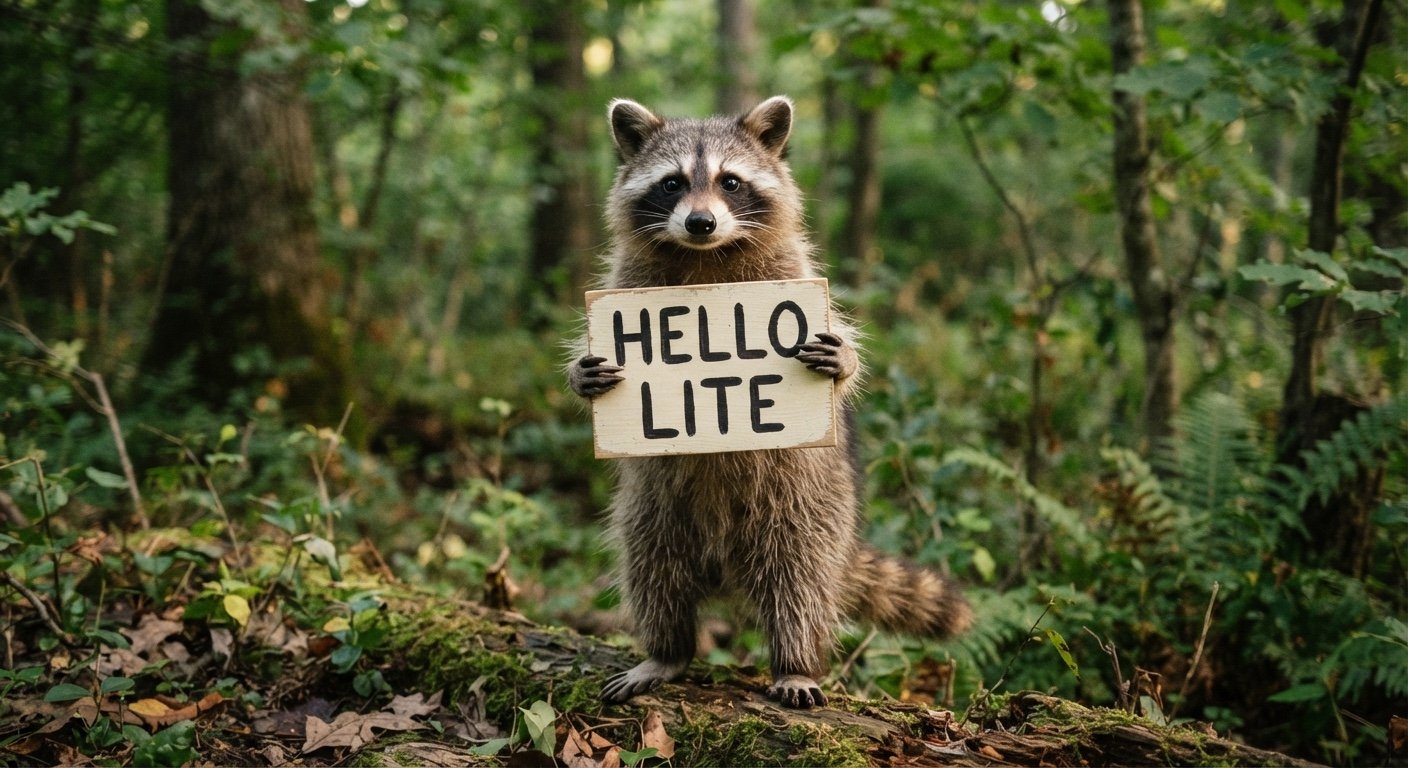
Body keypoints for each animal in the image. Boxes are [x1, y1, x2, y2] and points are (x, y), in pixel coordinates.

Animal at [569, 96, 972, 709]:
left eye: (730, 182)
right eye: (671, 183)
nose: (701, 222)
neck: (705, 258)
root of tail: (724, 566)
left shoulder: (792, 272)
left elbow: (845, 354)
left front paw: (844, 361)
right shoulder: (625, 280)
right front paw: (579, 372)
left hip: (809, 505)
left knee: (799, 584)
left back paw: (795, 662)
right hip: (652, 507)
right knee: (652, 569)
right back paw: (667, 650)